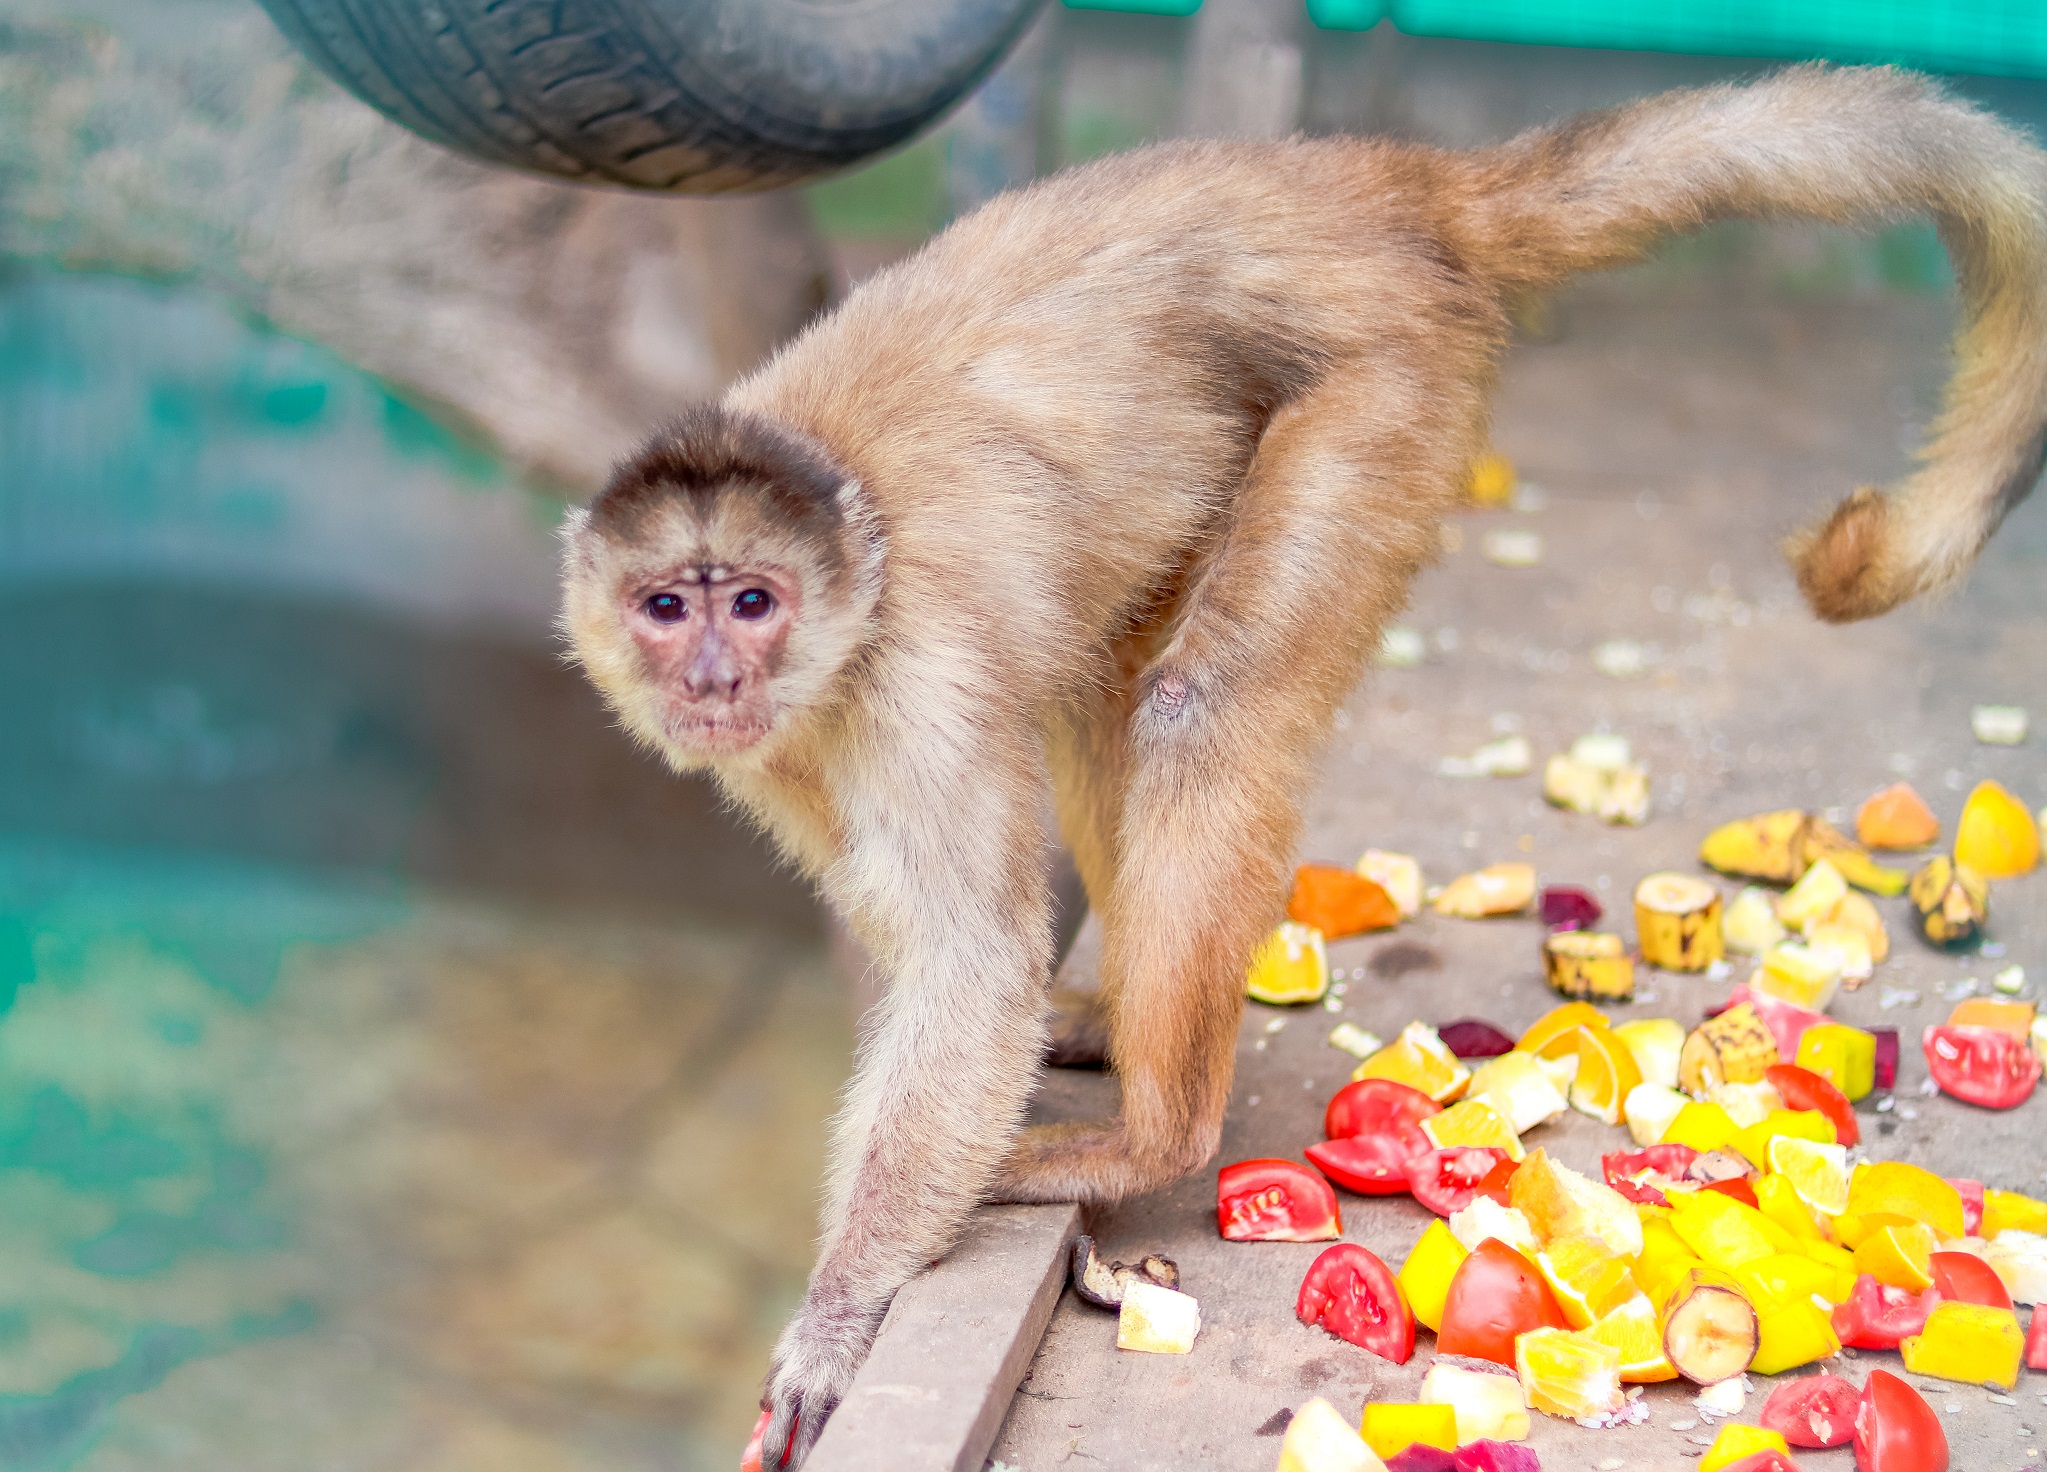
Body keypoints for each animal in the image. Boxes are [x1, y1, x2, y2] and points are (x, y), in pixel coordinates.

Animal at [564, 66, 2046, 1465]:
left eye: (752, 602)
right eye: (667, 608)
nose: (711, 677)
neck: (846, 569)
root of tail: (1378, 184)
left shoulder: (911, 671)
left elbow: (972, 964)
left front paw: (840, 1313)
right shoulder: (783, 743)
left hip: (1386, 381)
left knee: (1194, 708)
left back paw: (1155, 1136)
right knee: (1109, 691)